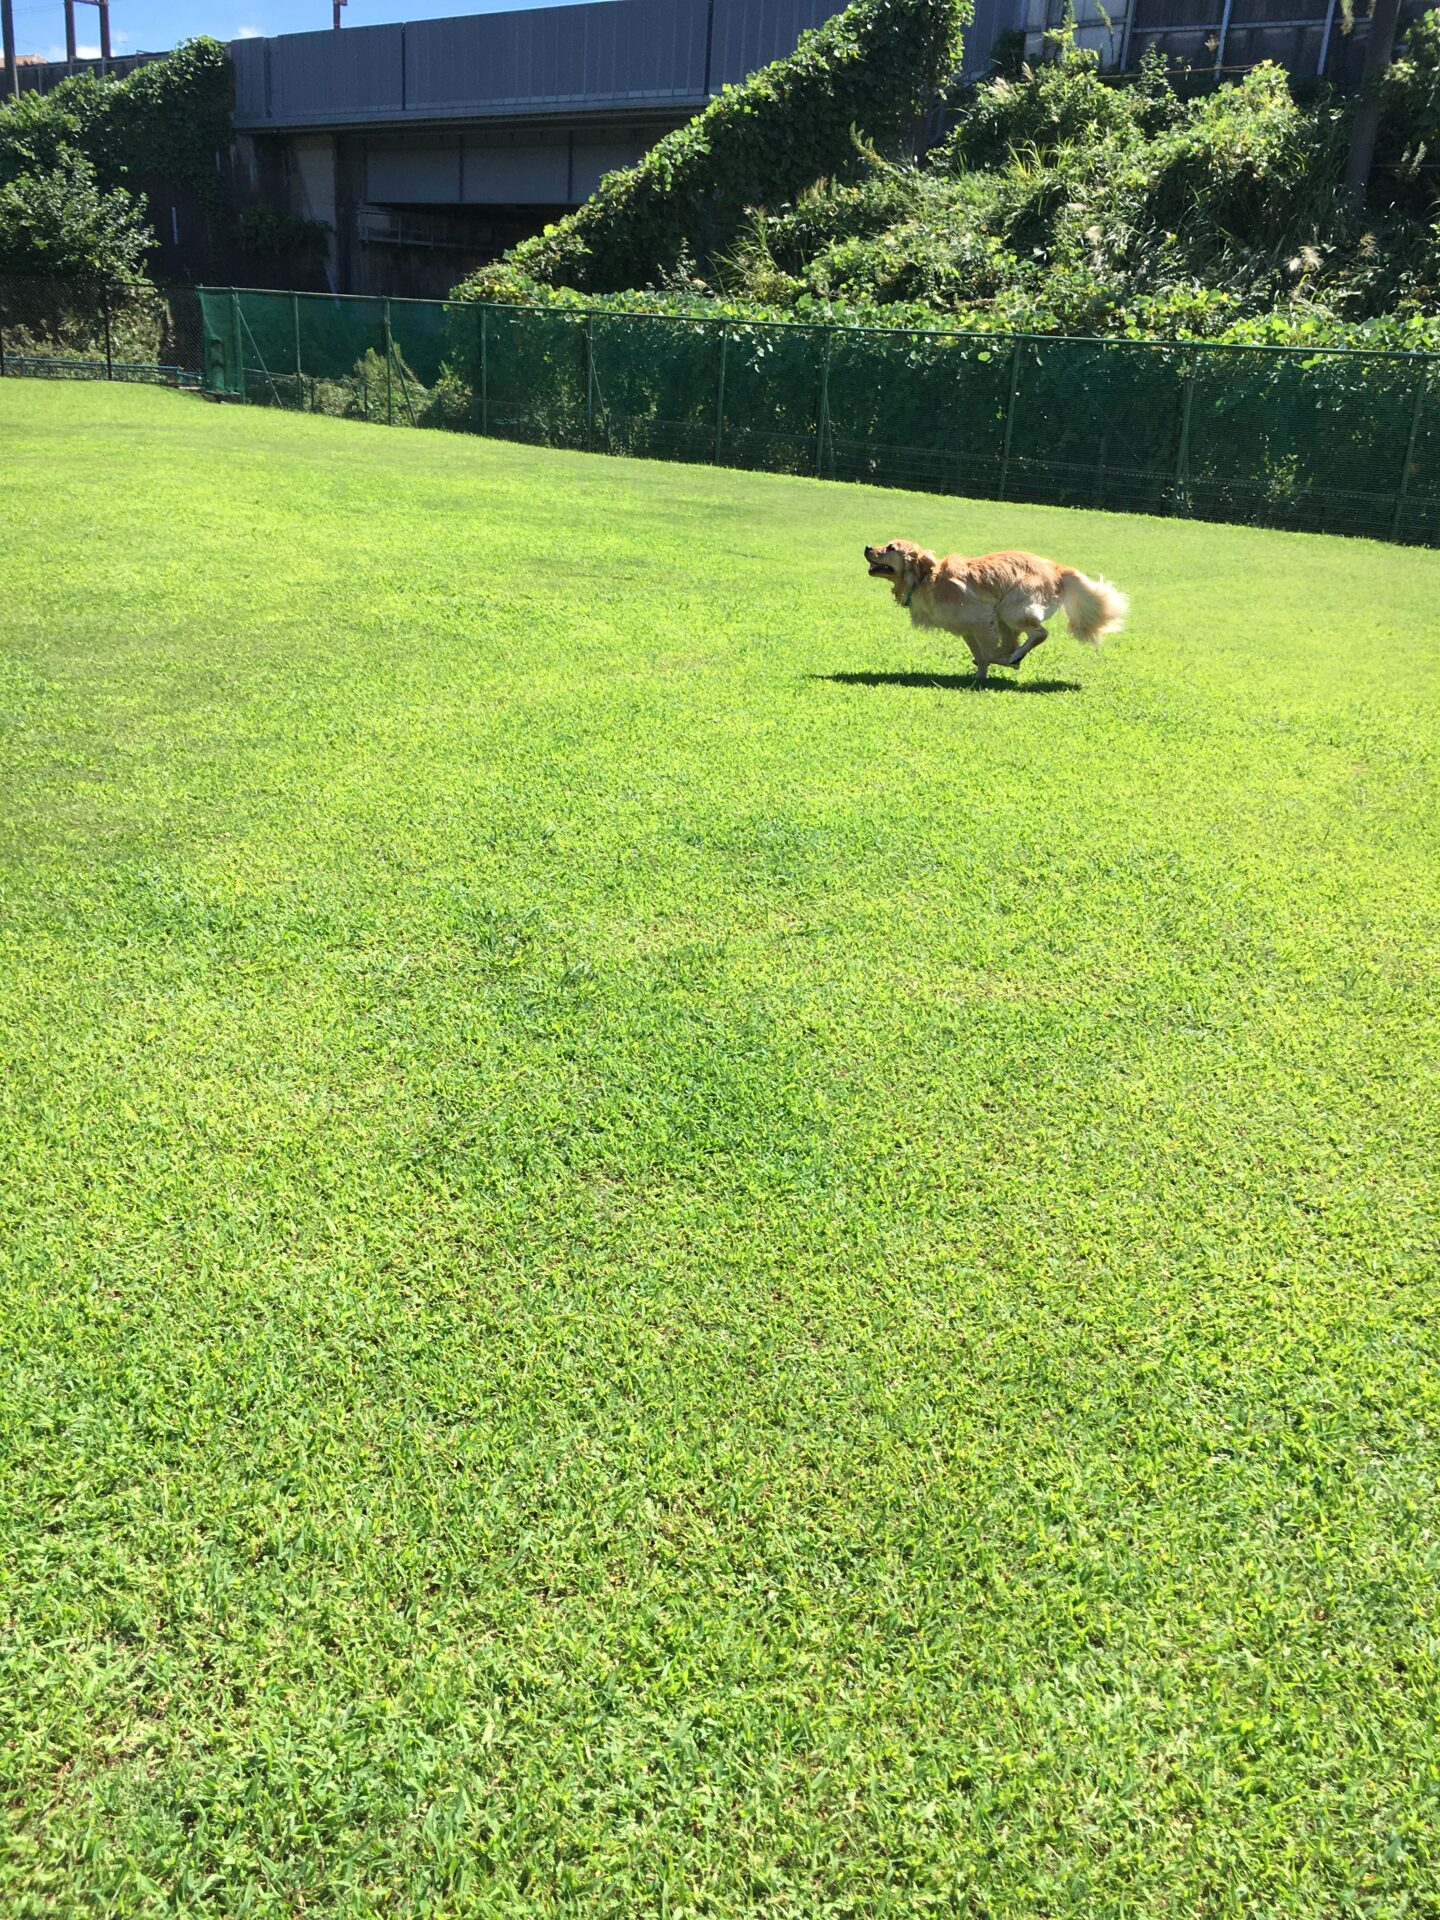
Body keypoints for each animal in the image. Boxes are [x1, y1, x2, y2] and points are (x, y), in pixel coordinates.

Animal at [863, 539, 1128, 682]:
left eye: (890, 547)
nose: (866, 547)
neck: (927, 579)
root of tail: (1055, 568)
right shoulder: (967, 629)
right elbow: (981, 656)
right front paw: (980, 677)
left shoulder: (982, 618)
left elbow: (988, 652)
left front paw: (1001, 664)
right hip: (1004, 617)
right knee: (1015, 641)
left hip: (1010, 609)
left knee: (1038, 634)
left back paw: (1014, 657)